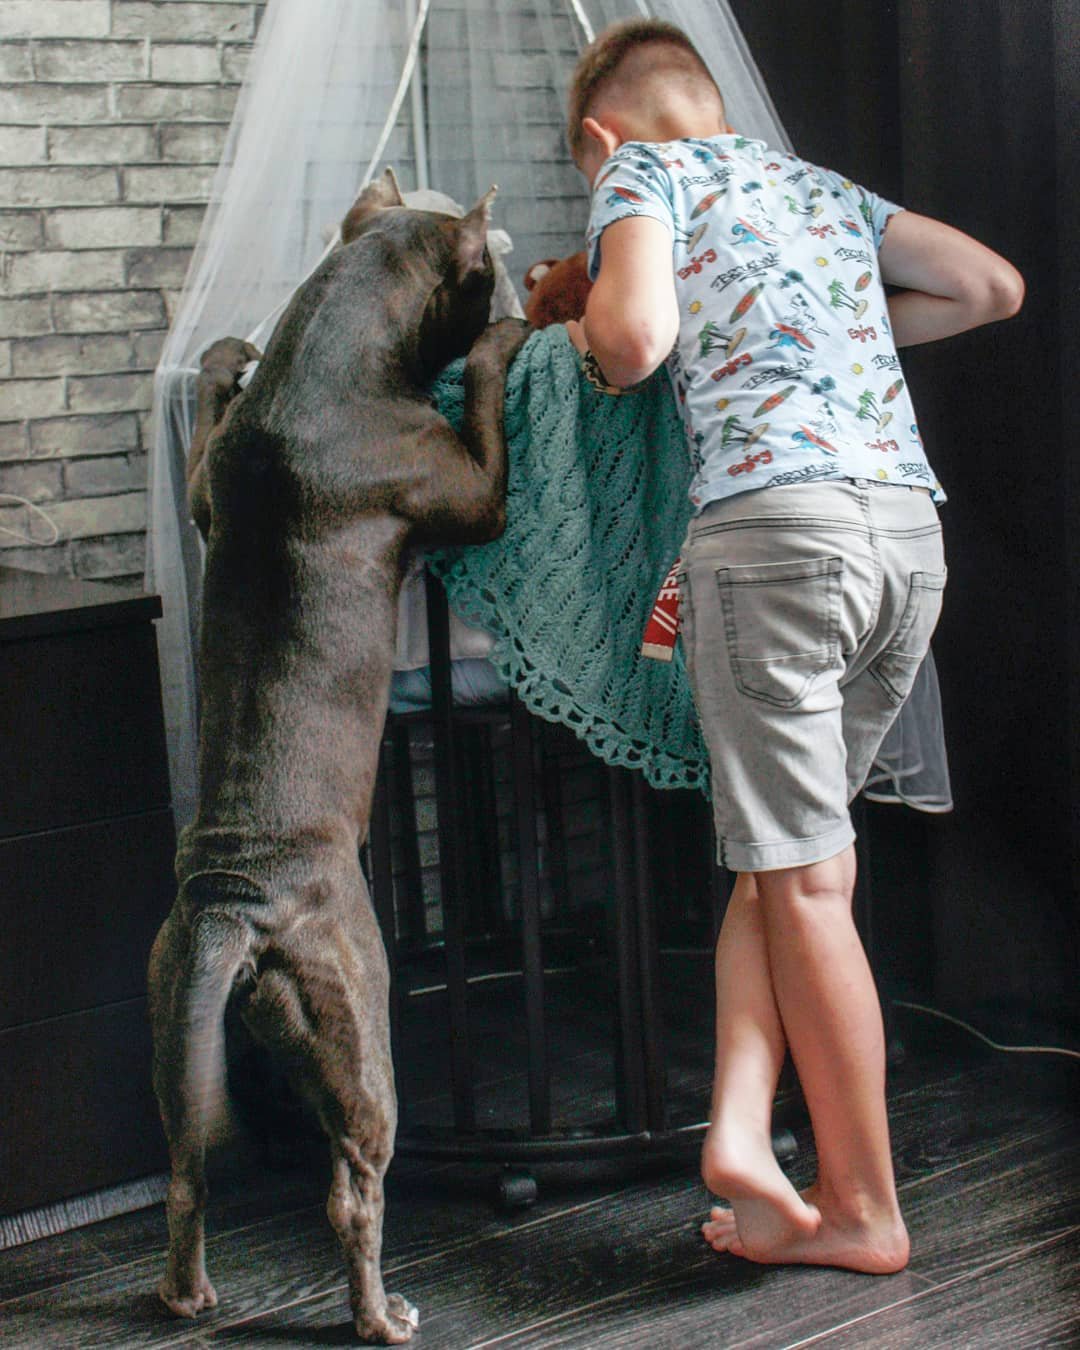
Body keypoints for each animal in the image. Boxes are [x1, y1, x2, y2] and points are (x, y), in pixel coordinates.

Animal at [146, 168, 526, 1339]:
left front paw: (223, 355)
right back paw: (379, 1315)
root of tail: (238, 907)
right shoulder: (469, 491)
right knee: (354, 1191)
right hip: (358, 1025)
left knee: (188, 1172)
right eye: (482, 268)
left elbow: (205, 434)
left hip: (173, 1021)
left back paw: (187, 1295)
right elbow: (485, 420)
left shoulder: (208, 485)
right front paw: (506, 338)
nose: (512, 273)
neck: (332, 339)